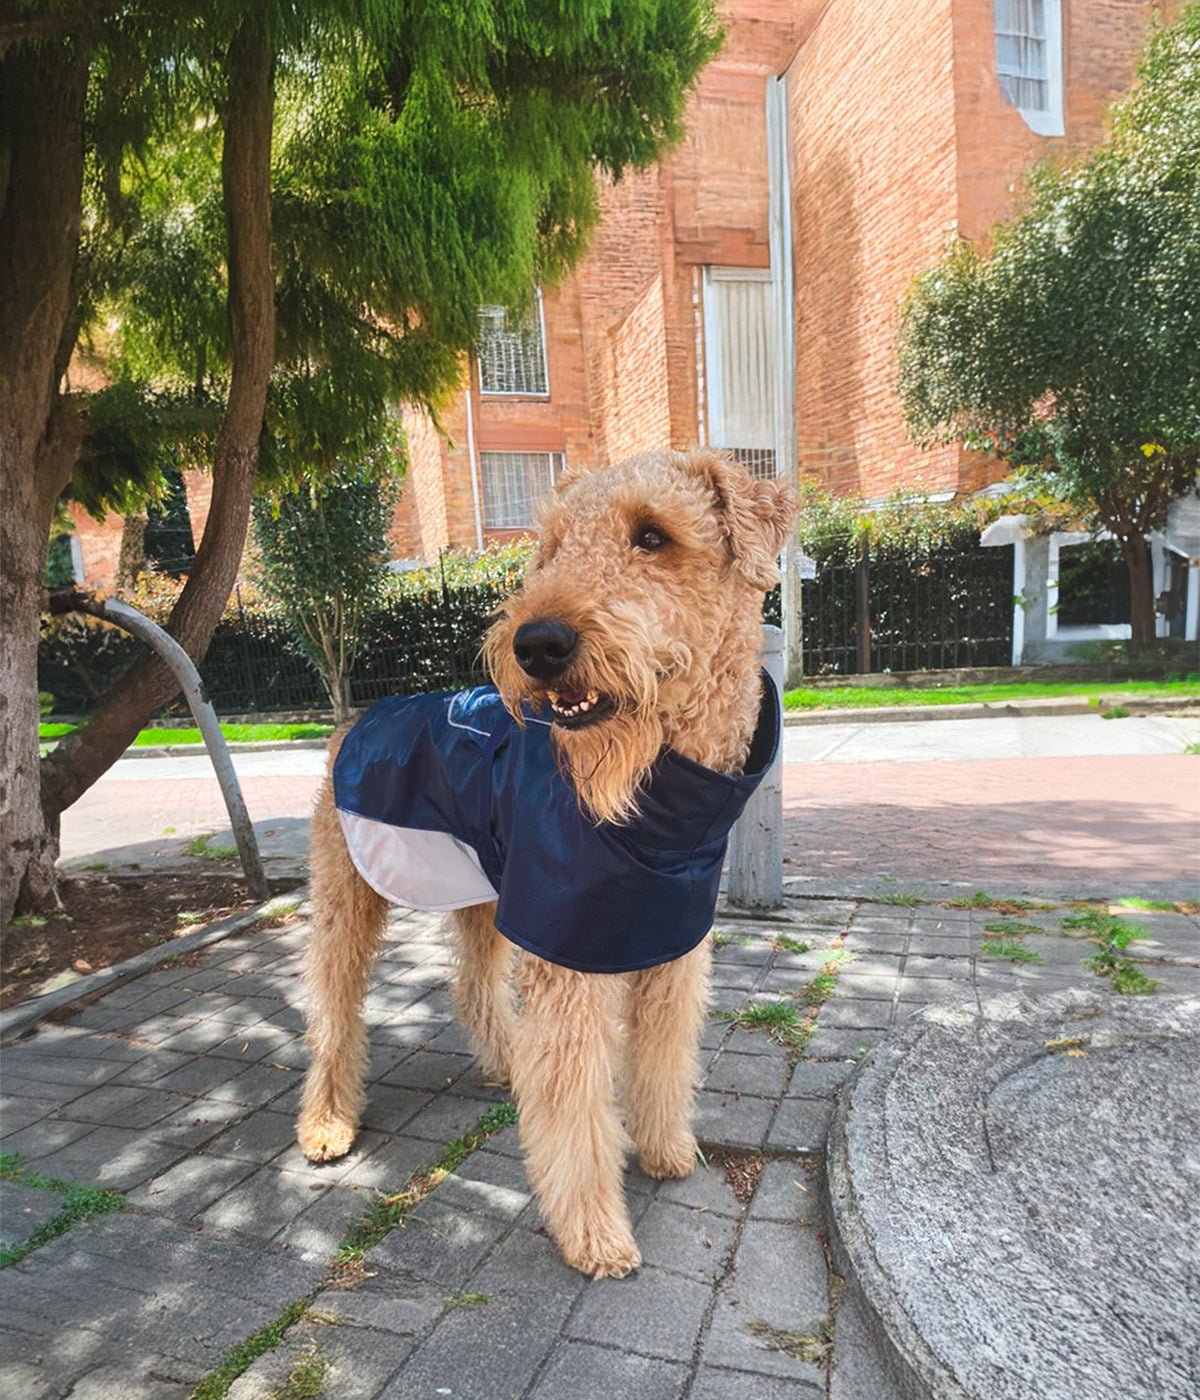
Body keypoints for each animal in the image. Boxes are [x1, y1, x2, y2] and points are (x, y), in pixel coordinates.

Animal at [295, 448, 789, 1282]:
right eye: (552, 546)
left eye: (652, 535)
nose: (537, 645)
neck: (665, 811)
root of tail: (351, 721)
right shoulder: (570, 961)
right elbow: (575, 1106)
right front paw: (595, 1235)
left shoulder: (670, 947)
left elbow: (662, 1060)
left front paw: (666, 1149)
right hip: (349, 899)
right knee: (334, 1013)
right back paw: (327, 1123)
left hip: (483, 896)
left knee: (472, 987)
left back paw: (504, 1064)